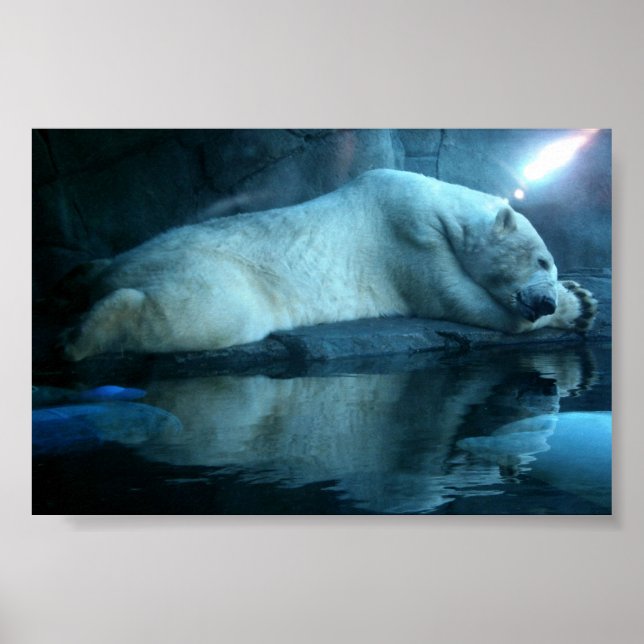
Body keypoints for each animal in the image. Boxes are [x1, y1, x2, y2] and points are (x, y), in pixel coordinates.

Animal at [60, 169, 597, 361]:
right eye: (542, 258)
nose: (545, 300)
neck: (441, 204)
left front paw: (579, 297)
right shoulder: (408, 235)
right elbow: (461, 302)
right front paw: (580, 306)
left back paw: (80, 279)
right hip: (218, 275)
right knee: (201, 315)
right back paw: (80, 336)